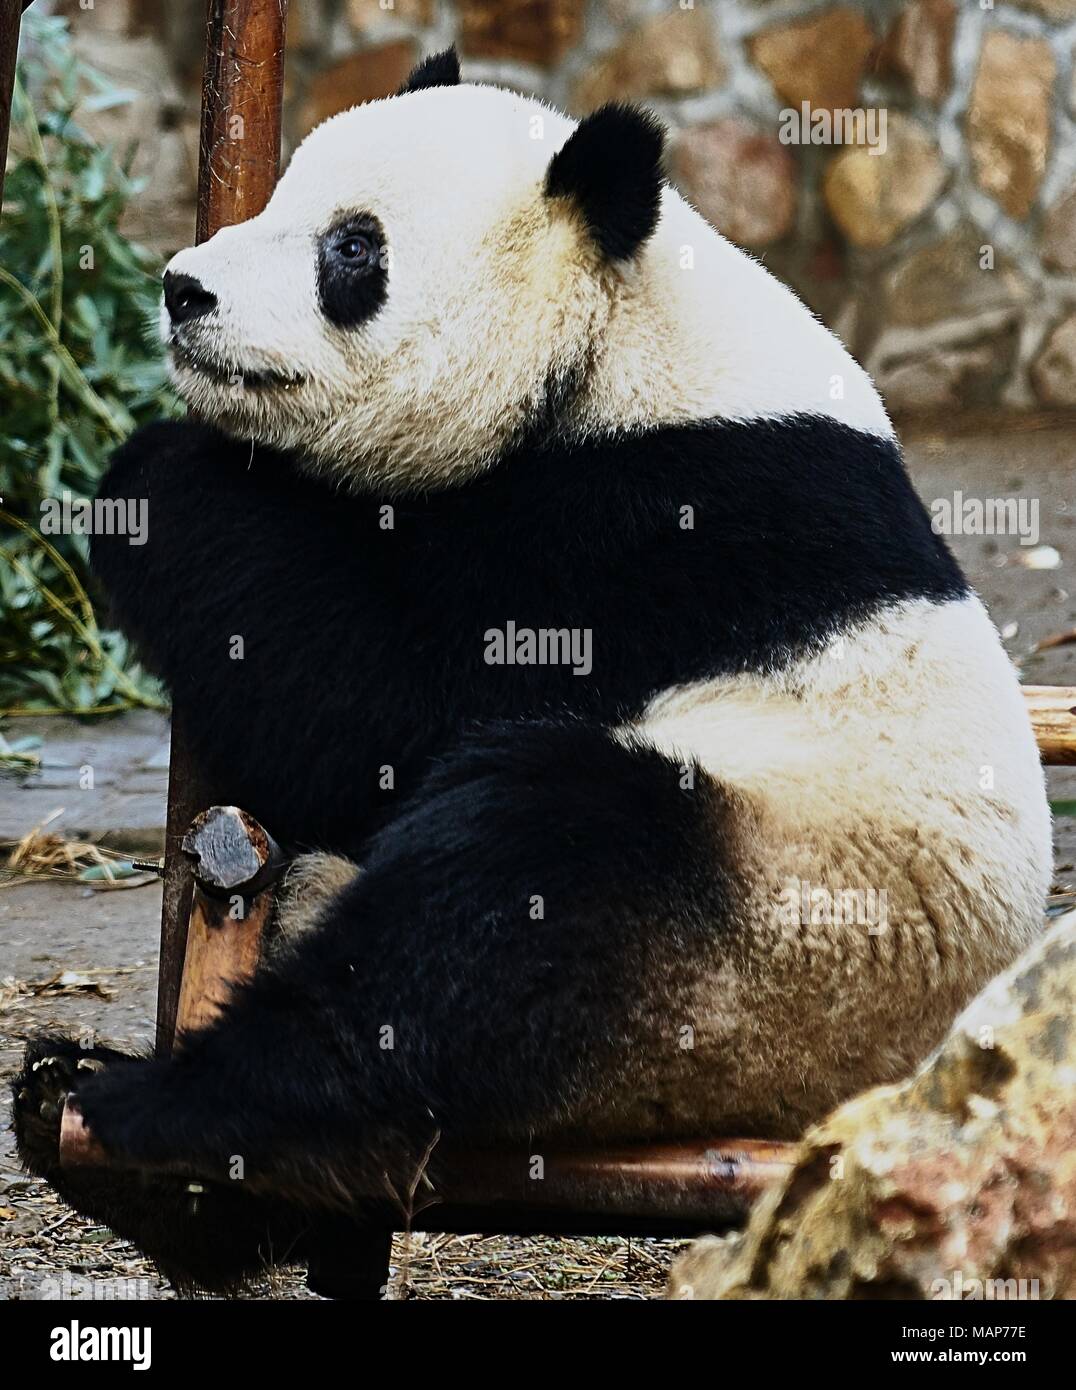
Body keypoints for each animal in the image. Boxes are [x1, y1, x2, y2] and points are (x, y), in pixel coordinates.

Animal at [10, 48, 1050, 1289]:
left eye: (351, 248)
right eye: (278, 197)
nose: (182, 290)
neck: (616, 338)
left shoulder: (660, 529)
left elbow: (391, 714)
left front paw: (158, 474)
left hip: (775, 937)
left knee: (521, 880)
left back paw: (167, 1105)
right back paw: (94, 1121)